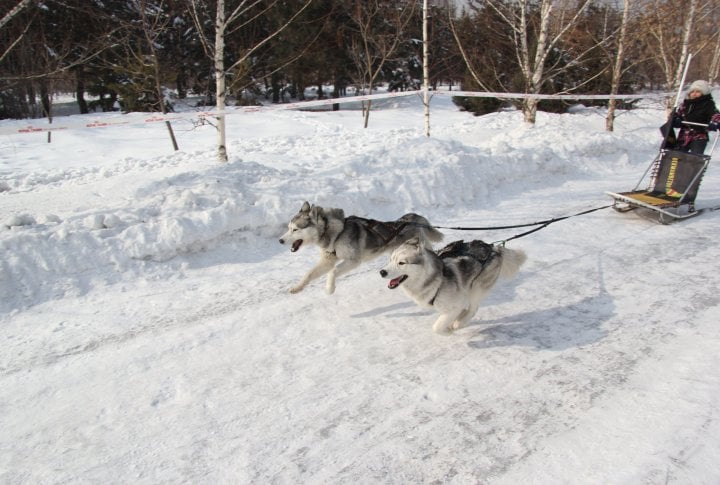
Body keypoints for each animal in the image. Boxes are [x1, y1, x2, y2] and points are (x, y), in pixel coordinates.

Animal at [278, 199, 442, 294]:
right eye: (288, 228)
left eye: (295, 230)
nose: (280, 240)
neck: (336, 233)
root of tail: (410, 219)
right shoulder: (327, 261)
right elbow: (309, 274)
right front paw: (297, 287)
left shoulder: (353, 261)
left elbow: (333, 271)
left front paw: (329, 288)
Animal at [380, 237, 524, 332]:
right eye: (391, 260)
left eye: (401, 263)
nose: (382, 272)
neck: (437, 278)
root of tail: (493, 248)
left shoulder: (455, 305)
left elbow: (437, 327)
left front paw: (449, 330)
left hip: (476, 288)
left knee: (473, 308)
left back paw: (460, 323)